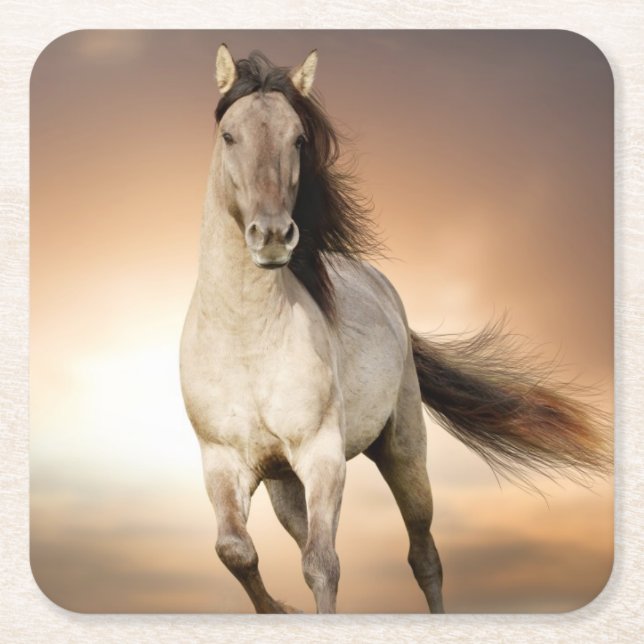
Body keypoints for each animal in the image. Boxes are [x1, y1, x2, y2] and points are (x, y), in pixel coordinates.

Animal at [180, 45, 610, 614]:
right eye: (229, 135)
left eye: (298, 139)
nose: (272, 236)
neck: (246, 341)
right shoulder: (223, 462)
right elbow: (236, 552)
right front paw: (280, 611)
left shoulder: (322, 455)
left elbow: (322, 564)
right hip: (284, 484)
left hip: (403, 451)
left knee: (423, 554)